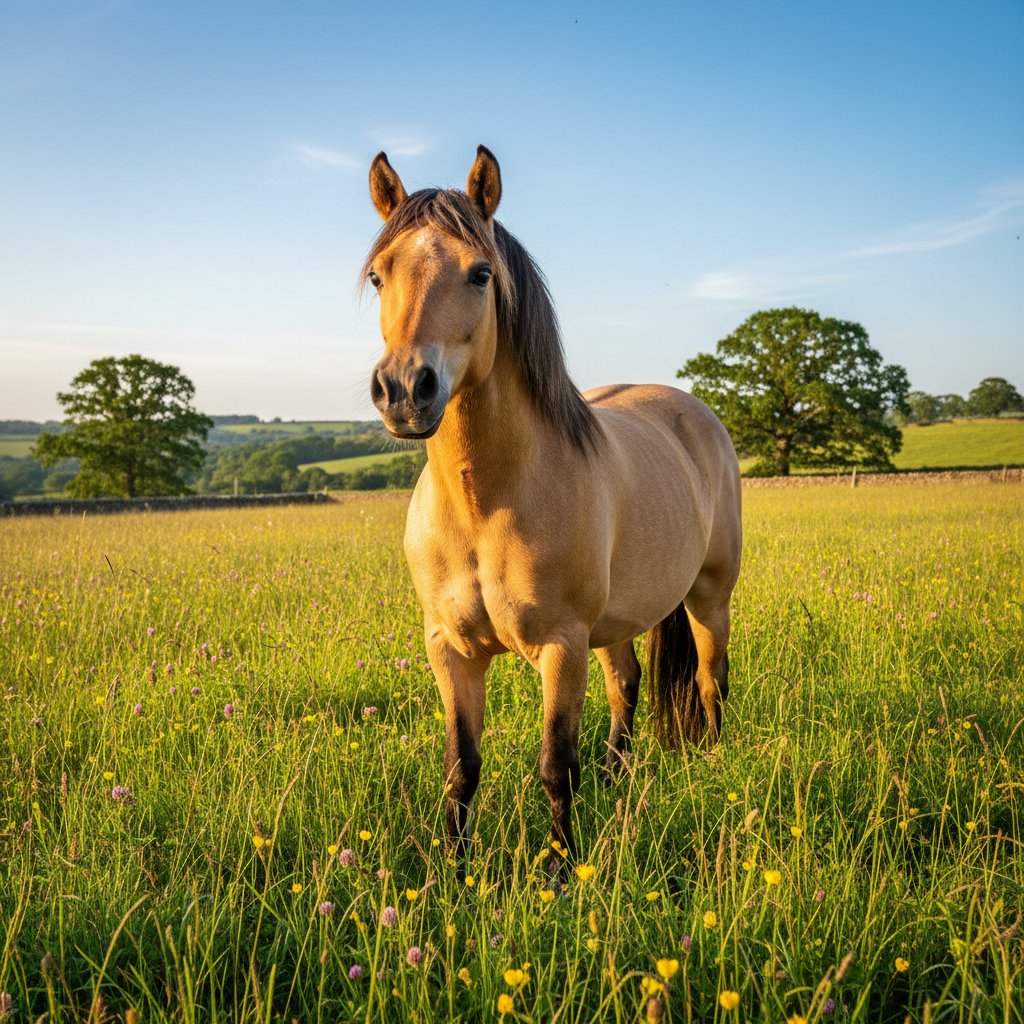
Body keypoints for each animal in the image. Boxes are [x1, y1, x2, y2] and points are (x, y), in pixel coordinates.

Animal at [362, 145, 742, 864]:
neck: (487, 504)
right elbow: (461, 770)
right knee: (627, 684)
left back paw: (713, 764)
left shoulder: (562, 649)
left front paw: (564, 871)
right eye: (377, 275)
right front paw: (451, 874)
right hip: (616, 622)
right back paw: (617, 775)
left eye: (481, 273)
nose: (403, 390)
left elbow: (554, 768)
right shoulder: (449, 651)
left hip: (709, 597)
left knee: (711, 682)